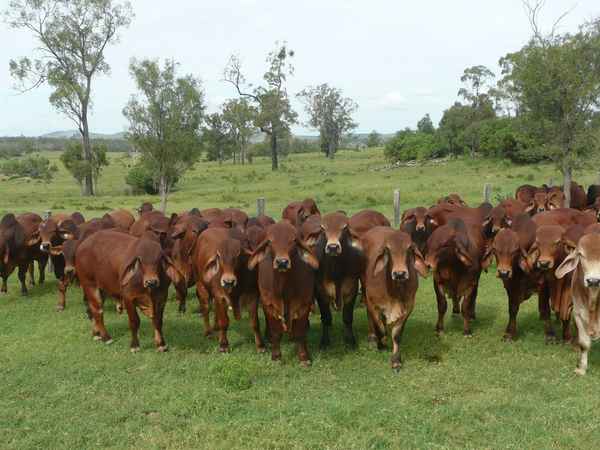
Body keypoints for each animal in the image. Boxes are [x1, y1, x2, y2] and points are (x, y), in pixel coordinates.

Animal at [246, 221, 318, 366]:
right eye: (270, 241)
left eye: (293, 240)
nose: (282, 262)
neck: (284, 287)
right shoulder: (268, 304)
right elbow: (275, 332)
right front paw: (276, 356)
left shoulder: (304, 303)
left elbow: (300, 332)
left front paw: (304, 358)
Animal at [360, 227, 426, 370]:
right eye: (388, 250)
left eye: (409, 248)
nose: (399, 274)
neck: (395, 290)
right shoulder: (372, 302)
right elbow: (379, 328)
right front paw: (381, 342)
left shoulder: (409, 306)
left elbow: (396, 334)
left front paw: (396, 360)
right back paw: (373, 337)